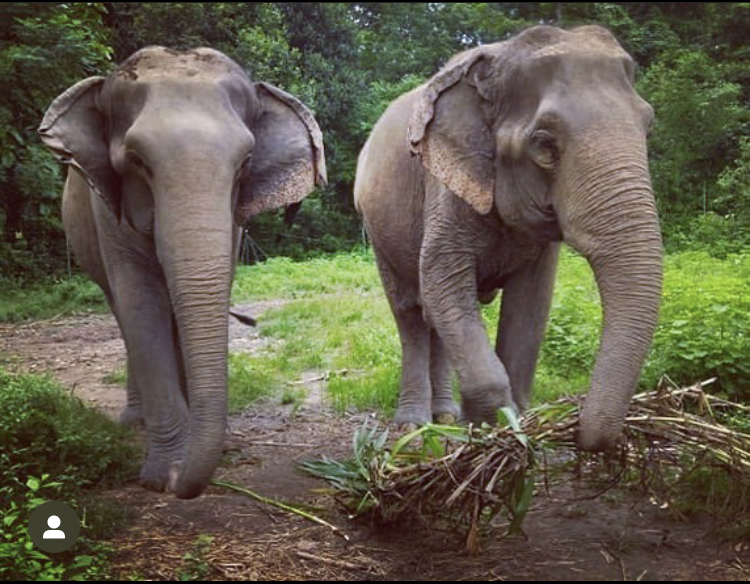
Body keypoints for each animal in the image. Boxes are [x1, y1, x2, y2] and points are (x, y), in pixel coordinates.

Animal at [39, 47, 326, 498]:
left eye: (245, 163)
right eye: (137, 161)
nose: (181, 484)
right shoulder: (107, 212)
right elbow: (141, 304)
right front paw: (164, 476)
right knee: (121, 312)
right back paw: (134, 422)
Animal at [354, 25, 662, 451]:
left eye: (649, 126)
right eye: (544, 145)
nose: (581, 432)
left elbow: (529, 304)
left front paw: (505, 427)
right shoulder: (444, 182)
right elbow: (443, 281)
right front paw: (497, 429)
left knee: (434, 317)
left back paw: (444, 417)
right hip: (377, 228)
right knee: (410, 312)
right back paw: (414, 426)